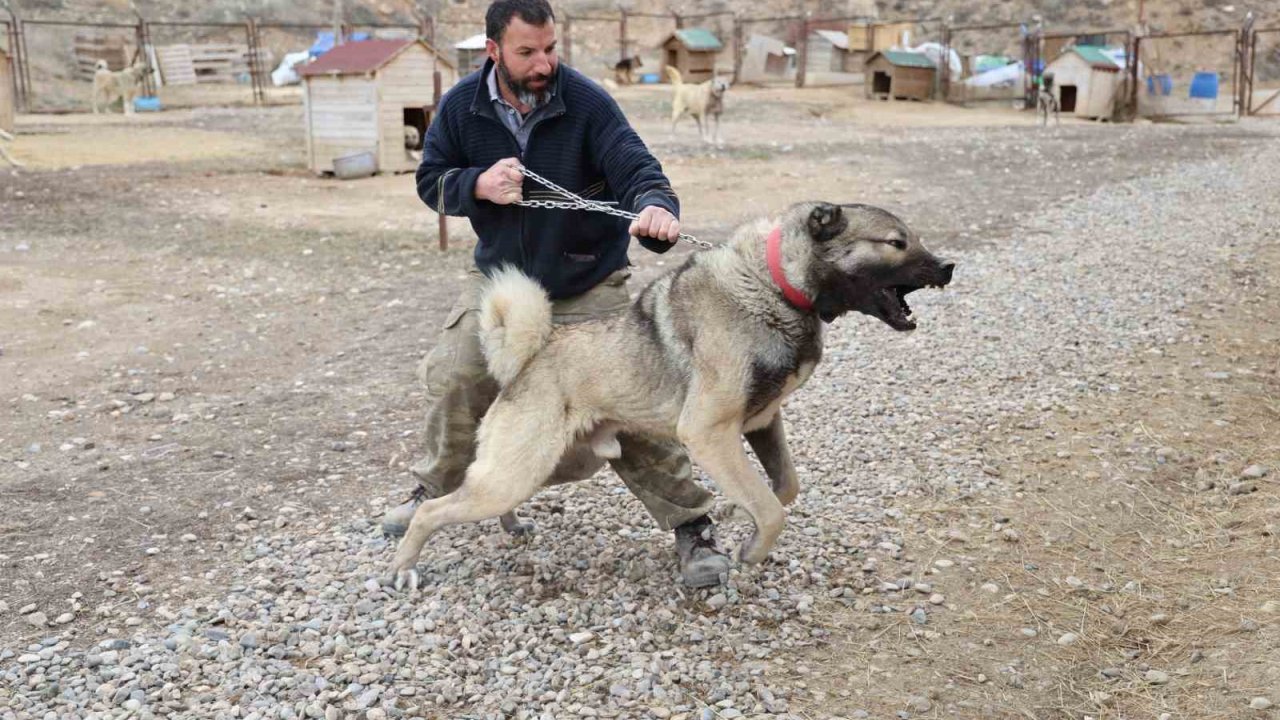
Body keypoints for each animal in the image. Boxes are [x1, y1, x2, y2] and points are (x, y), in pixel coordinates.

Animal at [384, 198, 957, 586]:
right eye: (896, 242)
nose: (949, 267)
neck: (774, 283)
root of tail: (526, 359)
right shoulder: (709, 434)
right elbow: (772, 509)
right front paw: (752, 549)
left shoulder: (760, 425)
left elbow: (782, 488)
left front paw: (736, 517)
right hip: (520, 471)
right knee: (437, 510)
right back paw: (403, 566)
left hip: (553, 467)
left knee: (477, 490)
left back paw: (509, 524)